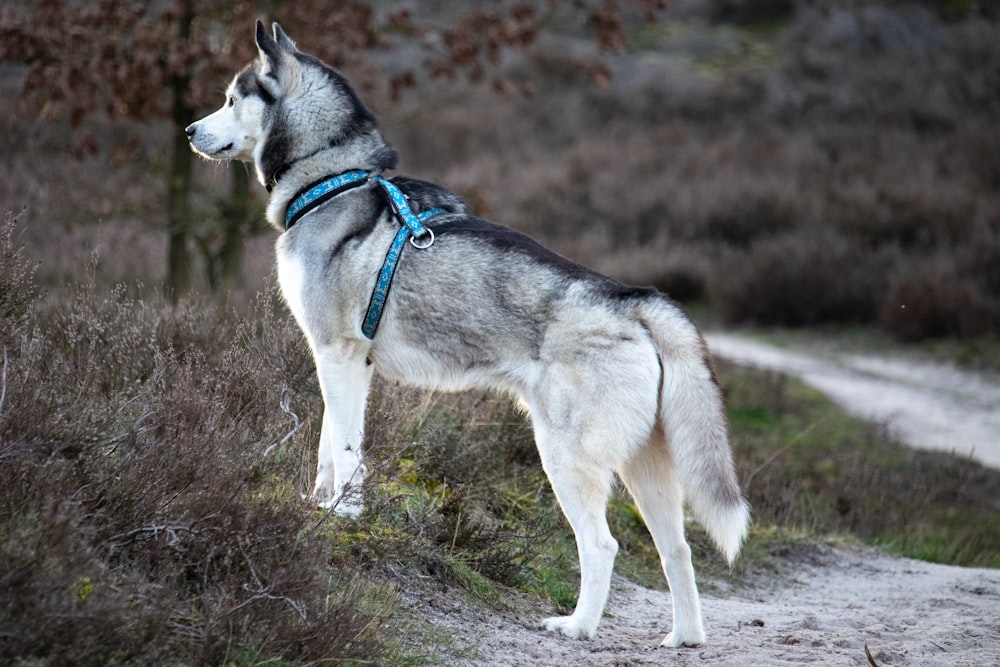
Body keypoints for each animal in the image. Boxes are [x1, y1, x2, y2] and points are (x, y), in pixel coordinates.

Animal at [188, 19, 752, 648]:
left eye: (230, 100)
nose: (188, 131)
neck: (334, 180)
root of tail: (634, 300)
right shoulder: (346, 364)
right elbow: (328, 447)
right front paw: (319, 506)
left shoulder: (338, 353)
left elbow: (346, 448)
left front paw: (344, 514)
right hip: (645, 469)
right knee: (677, 550)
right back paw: (684, 637)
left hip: (564, 454)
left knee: (602, 545)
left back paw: (577, 625)